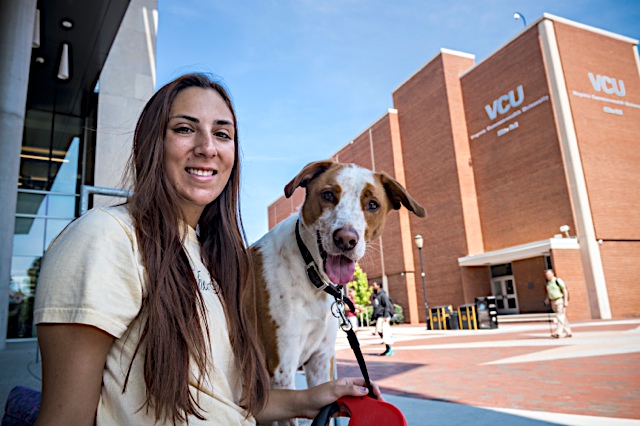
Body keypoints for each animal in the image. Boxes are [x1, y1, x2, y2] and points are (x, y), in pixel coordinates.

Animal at [248, 159, 428, 422]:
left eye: (372, 204)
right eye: (328, 195)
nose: (346, 239)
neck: (312, 275)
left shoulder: (321, 360)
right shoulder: (281, 370)